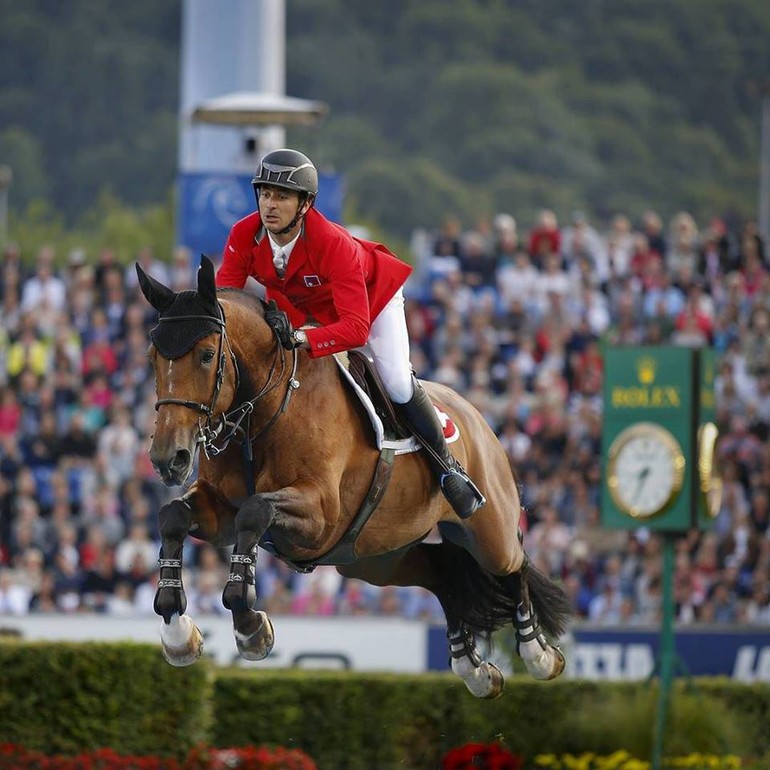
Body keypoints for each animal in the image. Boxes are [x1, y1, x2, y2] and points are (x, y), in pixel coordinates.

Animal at [135, 256, 568, 696]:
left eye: (207, 356)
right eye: (152, 356)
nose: (169, 458)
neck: (264, 413)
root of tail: (477, 416)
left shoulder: (320, 516)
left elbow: (256, 512)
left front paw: (250, 627)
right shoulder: (222, 511)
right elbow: (173, 516)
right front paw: (177, 634)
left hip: (486, 530)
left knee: (513, 564)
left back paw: (538, 654)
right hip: (373, 558)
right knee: (443, 573)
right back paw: (474, 669)